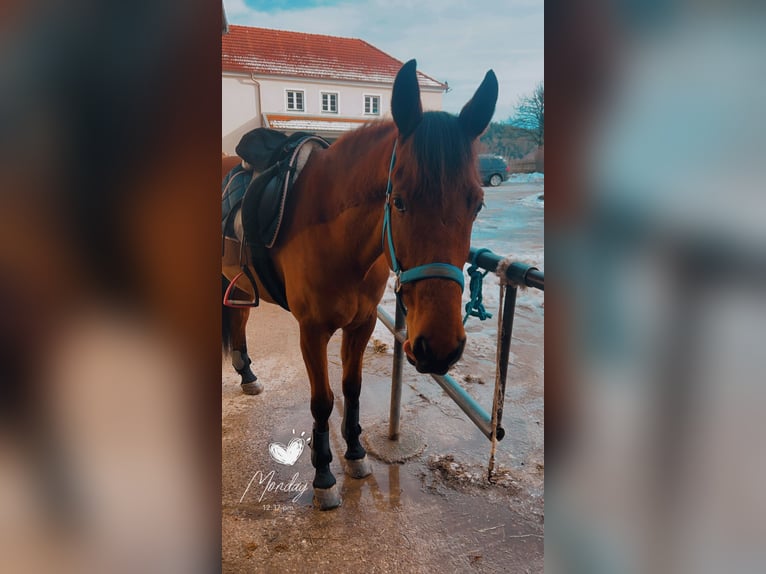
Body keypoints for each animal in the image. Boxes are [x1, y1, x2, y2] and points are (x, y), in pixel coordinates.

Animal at [222, 59, 498, 509]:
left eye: (477, 203)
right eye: (398, 201)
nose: (439, 347)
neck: (337, 238)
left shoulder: (362, 323)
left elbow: (351, 389)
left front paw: (355, 454)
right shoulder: (312, 331)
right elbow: (323, 401)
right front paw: (323, 476)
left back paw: (247, 375)